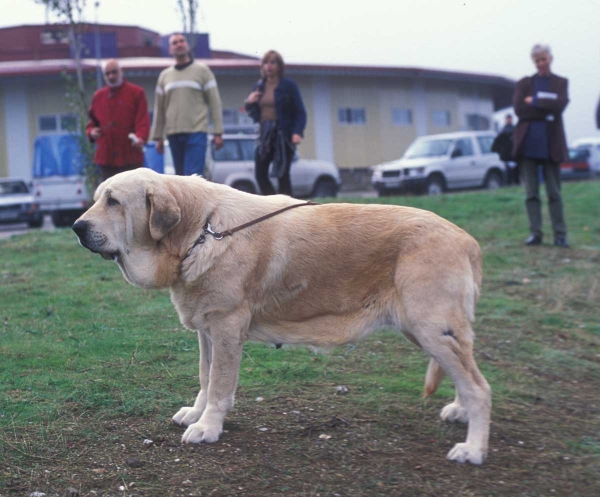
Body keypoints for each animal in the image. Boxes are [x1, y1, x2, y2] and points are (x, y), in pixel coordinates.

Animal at [72, 169, 490, 464]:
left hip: (431, 328)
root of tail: (467, 240)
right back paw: (459, 410)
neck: (201, 231)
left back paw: (473, 448)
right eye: (97, 200)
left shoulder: (226, 327)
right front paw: (196, 413)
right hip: (429, 332)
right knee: (464, 373)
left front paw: (208, 427)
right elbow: (205, 377)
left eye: (113, 202)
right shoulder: (207, 330)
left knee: (479, 388)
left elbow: (220, 385)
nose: (77, 227)